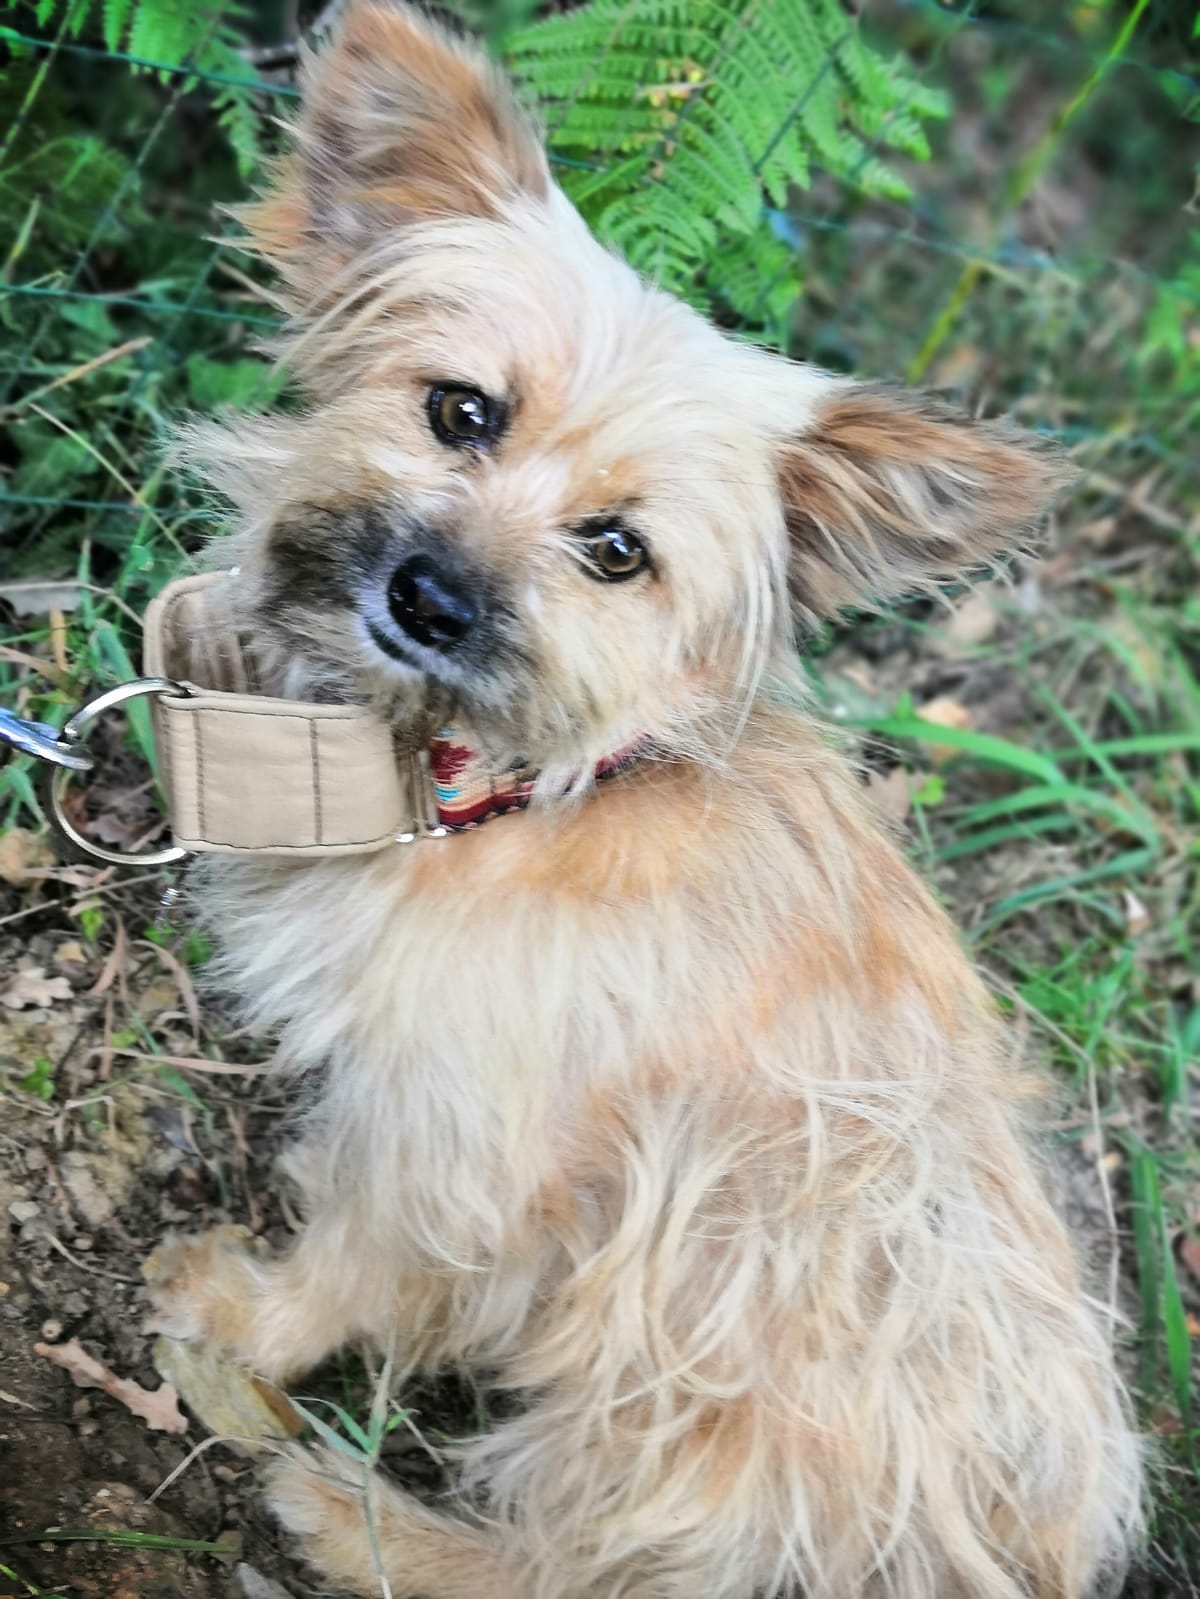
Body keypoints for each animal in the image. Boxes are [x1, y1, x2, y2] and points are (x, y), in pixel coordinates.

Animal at [145, 5, 1143, 1594]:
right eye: (460, 412)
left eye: (619, 550)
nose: (428, 597)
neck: (530, 788)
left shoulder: (459, 1142)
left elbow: (357, 1263)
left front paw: (248, 1324)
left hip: (704, 1326)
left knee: (573, 1563)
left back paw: (373, 1523)